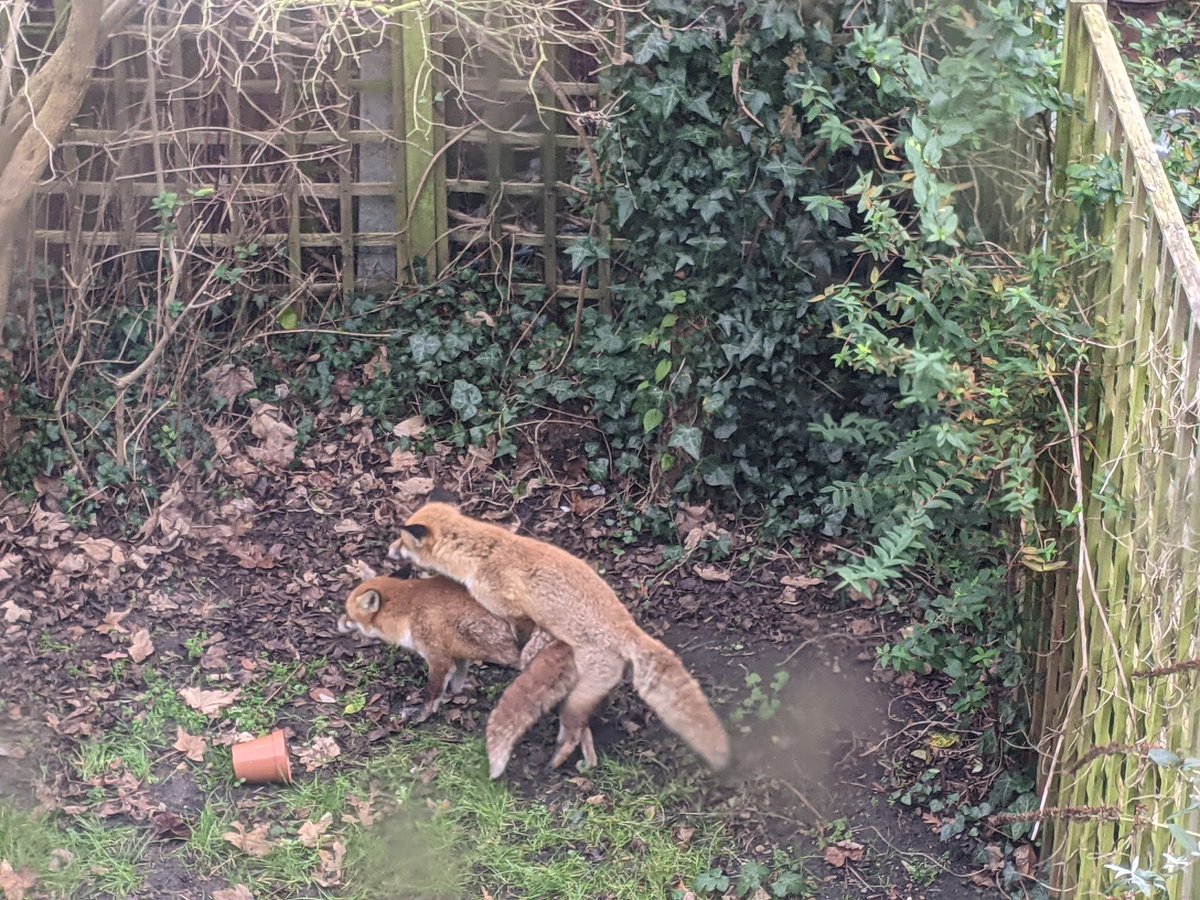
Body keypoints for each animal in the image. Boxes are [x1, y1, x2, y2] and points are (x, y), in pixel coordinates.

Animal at [387, 502, 731, 772]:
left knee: (574, 729)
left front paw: (520, 657)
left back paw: (558, 760)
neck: (485, 553)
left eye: (401, 541)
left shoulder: (514, 611)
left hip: (576, 699)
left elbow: (520, 640)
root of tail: (628, 628)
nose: (388, 550)